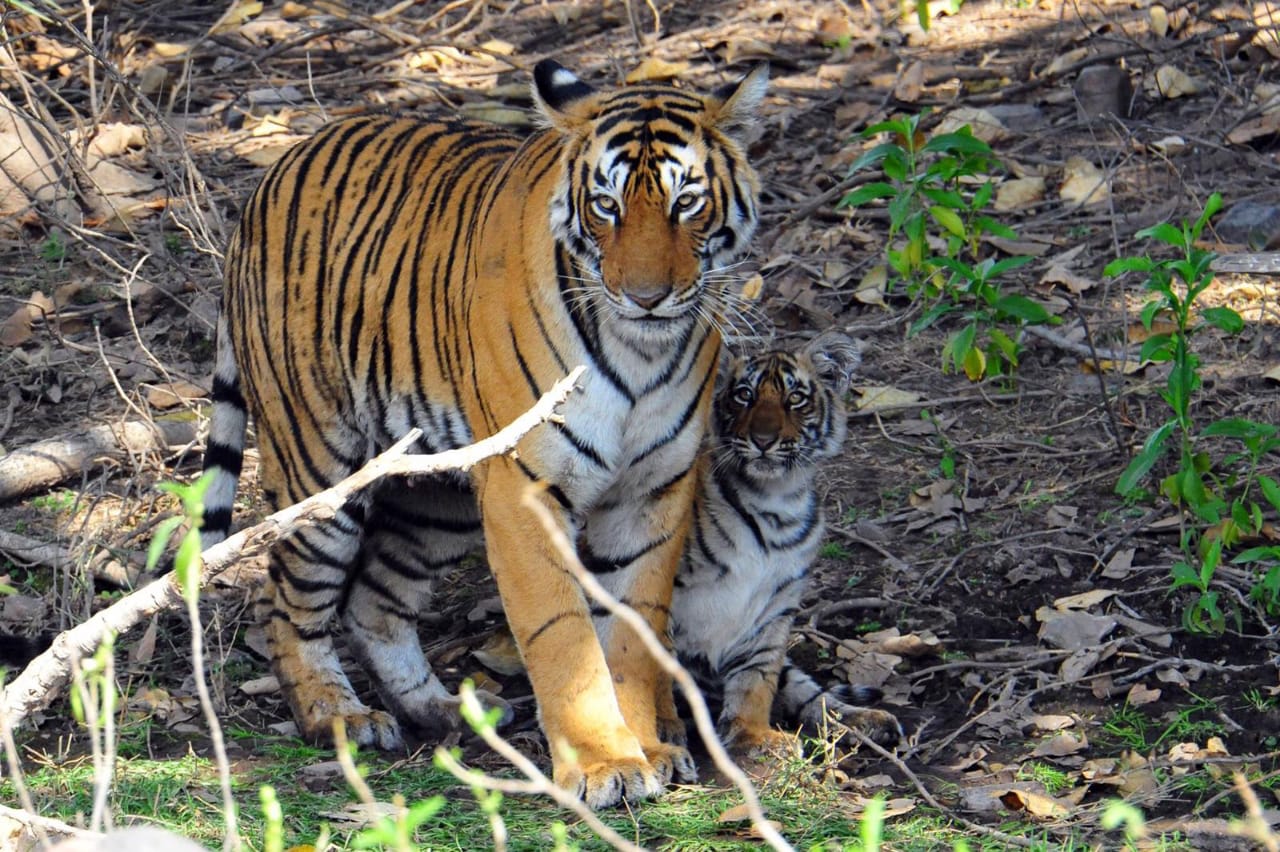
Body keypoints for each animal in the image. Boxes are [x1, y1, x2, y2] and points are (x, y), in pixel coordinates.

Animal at [198, 58, 757, 803]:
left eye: (686, 203)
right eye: (606, 206)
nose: (645, 298)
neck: (641, 350)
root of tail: (271, 173)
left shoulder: (655, 492)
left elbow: (636, 629)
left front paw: (653, 747)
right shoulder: (525, 490)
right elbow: (563, 635)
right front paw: (602, 764)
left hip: (439, 501)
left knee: (375, 602)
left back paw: (441, 708)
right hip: (321, 466)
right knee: (283, 599)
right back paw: (339, 718)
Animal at [670, 332, 901, 757]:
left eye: (795, 398)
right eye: (743, 395)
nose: (763, 440)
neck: (775, 501)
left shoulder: (774, 604)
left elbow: (757, 679)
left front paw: (751, 735)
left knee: (808, 690)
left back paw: (864, 722)